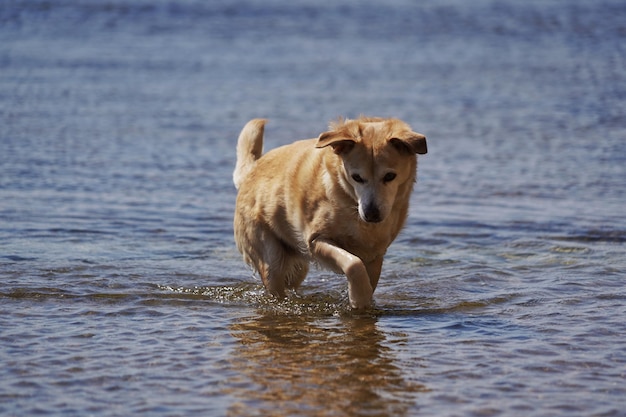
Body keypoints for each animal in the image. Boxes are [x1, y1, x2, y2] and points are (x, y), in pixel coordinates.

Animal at [232, 115, 426, 308]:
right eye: (356, 177)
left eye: (390, 176)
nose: (371, 214)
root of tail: (251, 170)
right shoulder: (316, 240)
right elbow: (354, 264)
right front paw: (359, 298)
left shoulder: (375, 256)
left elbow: (369, 276)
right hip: (270, 256)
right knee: (274, 279)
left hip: (296, 265)